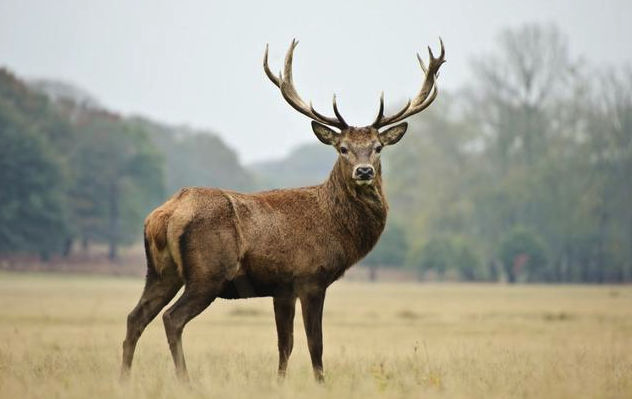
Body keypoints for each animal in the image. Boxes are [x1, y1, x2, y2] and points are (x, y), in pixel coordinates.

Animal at [118, 37, 444, 384]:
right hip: (208, 273)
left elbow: (284, 344)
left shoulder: (282, 288)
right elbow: (315, 343)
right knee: (172, 319)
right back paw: (185, 382)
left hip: (161, 271)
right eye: (342, 148)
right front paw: (321, 384)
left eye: (378, 147)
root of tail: (164, 214)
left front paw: (280, 383)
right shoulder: (311, 277)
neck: (335, 227)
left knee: (135, 317)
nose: (365, 171)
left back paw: (124, 379)